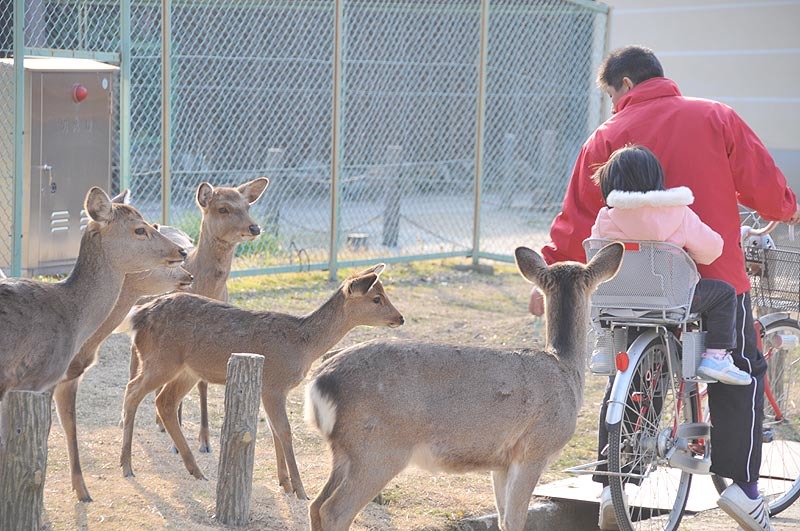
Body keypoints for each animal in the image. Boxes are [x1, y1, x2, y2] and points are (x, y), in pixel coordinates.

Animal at [55, 179, 272, 502]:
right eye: (223, 208)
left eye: (247, 205)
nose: (254, 227)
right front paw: (176, 440)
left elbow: (203, 384)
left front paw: (205, 440)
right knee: (133, 371)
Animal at [119, 264, 404, 500]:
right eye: (376, 298)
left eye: (384, 293)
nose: (400, 318)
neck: (303, 346)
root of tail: (137, 316)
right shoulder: (274, 385)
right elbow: (285, 431)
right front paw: (301, 491)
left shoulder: (272, 388)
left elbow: (275, 431)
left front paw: (285, 484)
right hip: (161, 359)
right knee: (133, 391)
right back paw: (127, 466)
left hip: (187, 370)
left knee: (164, 401)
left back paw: (196, 471)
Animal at [306, 244, 624, 531]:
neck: (565, 370)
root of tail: (319, 382)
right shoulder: (535, 448)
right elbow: (515, 519)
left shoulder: (502, 460)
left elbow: (503, 519)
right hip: (378, 447)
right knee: (335, 510)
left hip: (345, 450)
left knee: (316, 504)